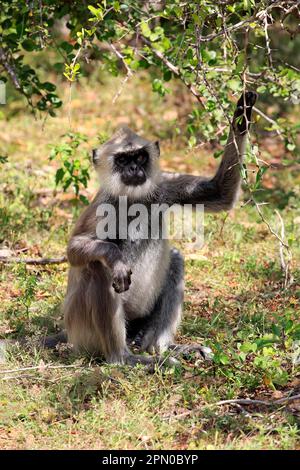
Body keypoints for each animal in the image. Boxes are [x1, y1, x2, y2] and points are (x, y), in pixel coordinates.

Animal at [45, 90, 256, 366]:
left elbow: (220, 192)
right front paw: (116, 259)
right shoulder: (104, 203)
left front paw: (242, 112)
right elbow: (74, 249)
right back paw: (123, 358)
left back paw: (164, 348)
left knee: (175, 258)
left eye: (140, 157)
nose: (134, 168)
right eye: (123, 159)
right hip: (83, 332)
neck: (133, 199)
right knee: (98, 268)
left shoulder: (162, 186)